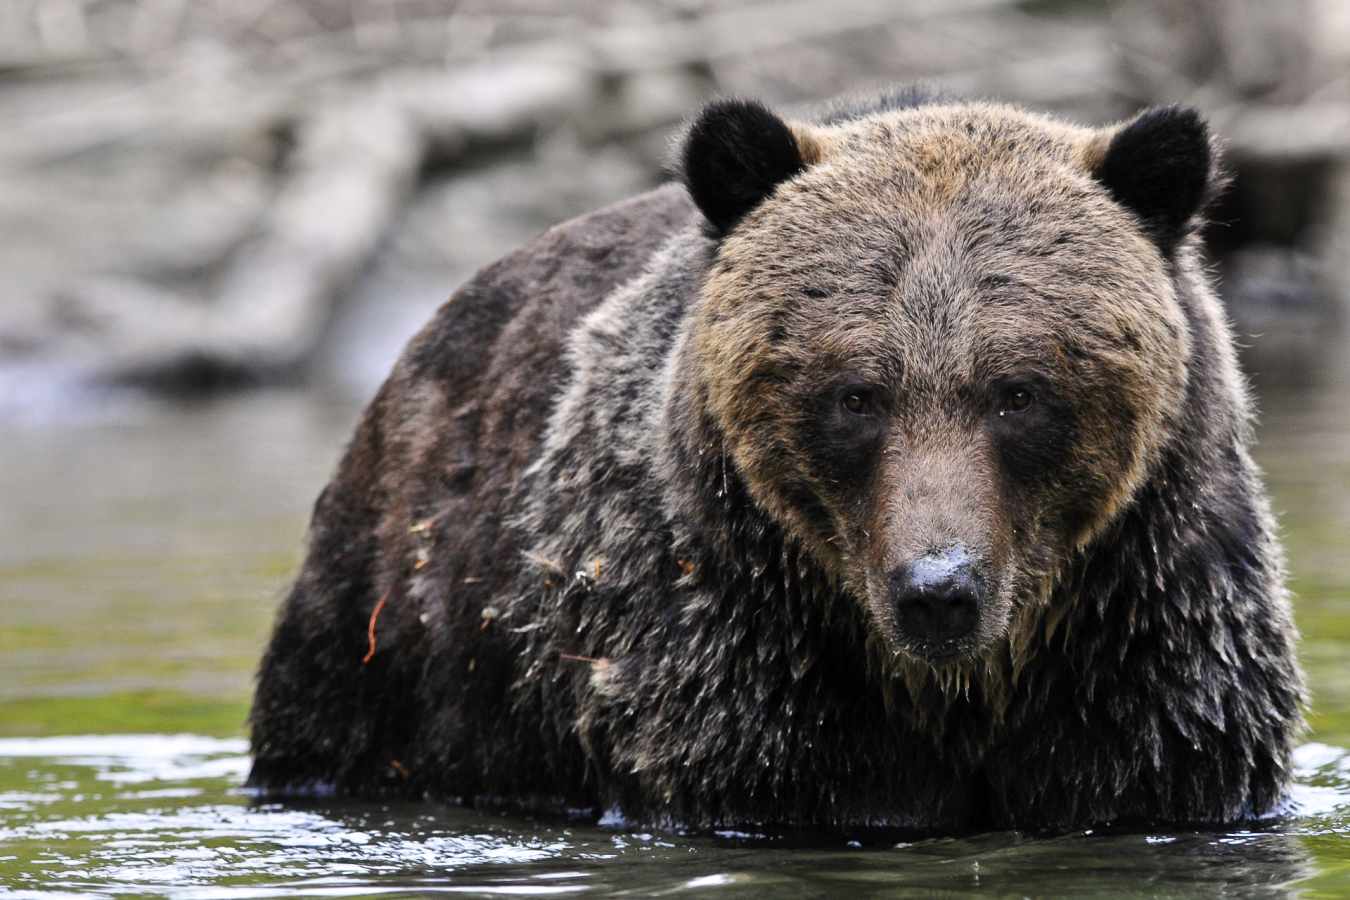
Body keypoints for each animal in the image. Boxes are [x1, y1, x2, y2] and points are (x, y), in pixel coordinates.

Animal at [247, 89, 1306, 833]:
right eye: (856, 393)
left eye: (1019, 390)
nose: (939, 589)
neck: (961, 688)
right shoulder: (737, 663)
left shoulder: (1148, 651)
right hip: (401, 635)